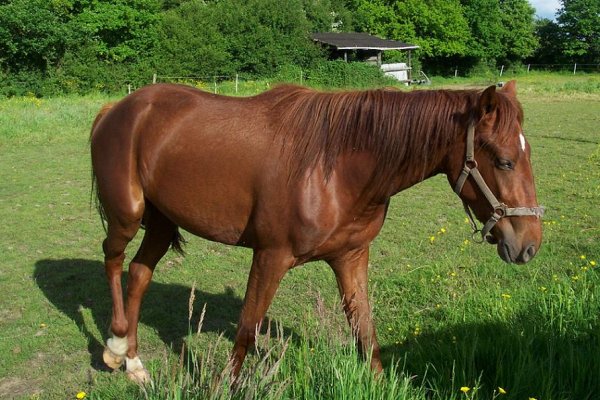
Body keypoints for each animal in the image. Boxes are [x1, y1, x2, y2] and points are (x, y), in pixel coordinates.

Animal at [90, 80, 544, 382]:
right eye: (503, 161)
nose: (528, 245)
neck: (336, 167)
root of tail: (115, 108)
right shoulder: (270, 257)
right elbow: (246, 330)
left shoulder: (350, 258)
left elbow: (364, 331)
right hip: (128, 216)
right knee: (112, 261)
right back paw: (114, 348)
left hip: (162, 222)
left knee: (139, 274)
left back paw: (134, 363)